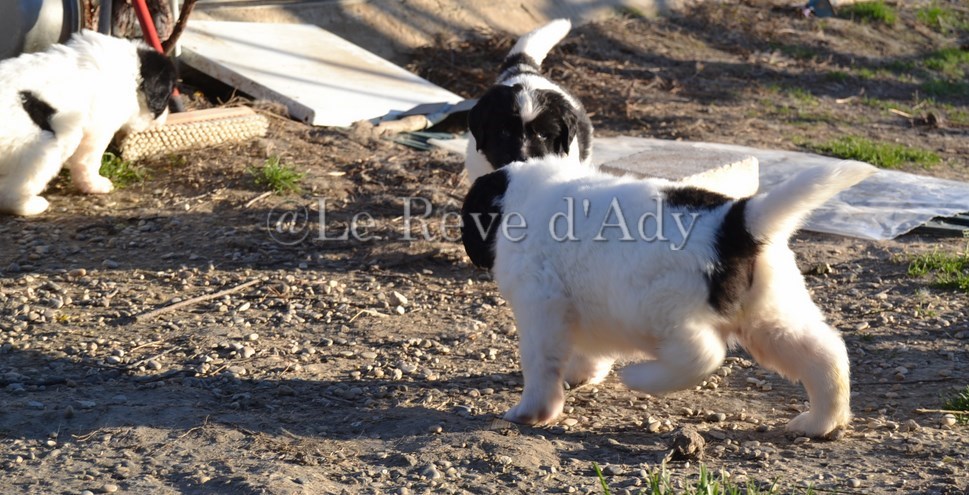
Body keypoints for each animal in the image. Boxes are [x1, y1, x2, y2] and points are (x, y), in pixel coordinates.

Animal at [0, 30, 176, 216]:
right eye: (167, 96)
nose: (165, 117)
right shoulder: (98, 130)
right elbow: (88, 160)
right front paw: (95, 184)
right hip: (41, 150)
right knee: (12, 189)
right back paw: (30, 205)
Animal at [461, 156, 875, 437]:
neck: (521, 201)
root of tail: (736, 221)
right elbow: (589, 350)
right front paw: (583, 374)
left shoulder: (540, 304)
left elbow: (540, 364)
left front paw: (532, 411)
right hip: (772, 317)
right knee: (824, 354)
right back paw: (820, 421)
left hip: (662, 310)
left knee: (704, 356)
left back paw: (642, 378)